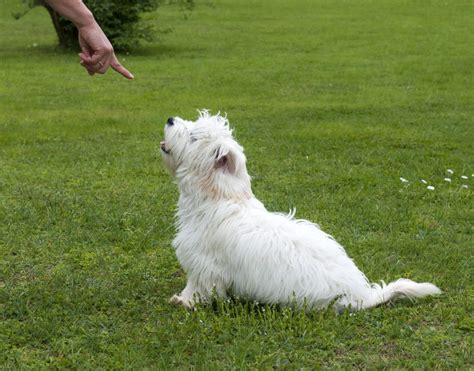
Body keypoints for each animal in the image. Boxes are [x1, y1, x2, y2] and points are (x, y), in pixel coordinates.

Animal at [161, 112, 442, 312]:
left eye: (193, 136)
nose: (170, 119)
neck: (219, 197)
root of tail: (363, 295)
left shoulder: (204, 265)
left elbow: (198, 287)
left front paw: (184, 301)